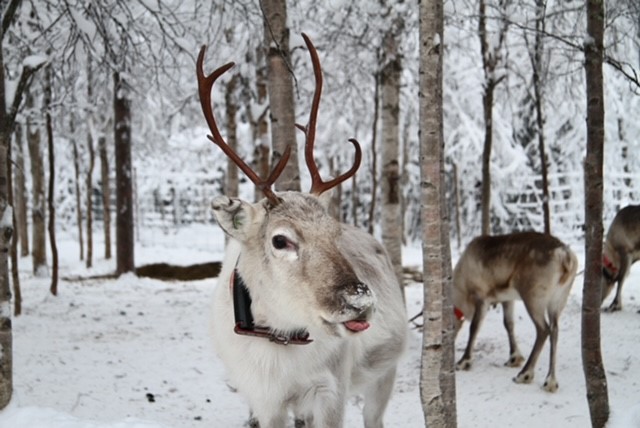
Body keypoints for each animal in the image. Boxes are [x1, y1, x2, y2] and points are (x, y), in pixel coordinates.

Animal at [196, 34, 407, 428]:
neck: (281, 339)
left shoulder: (330, 391)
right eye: (281, 240)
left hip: (384, 375)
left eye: (335, 233)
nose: (360, 301)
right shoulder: (266, 401)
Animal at [452, 231, 578, 392]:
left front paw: (464, 361)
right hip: (558, 300)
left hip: (533, 298)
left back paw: (525, 374)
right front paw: (514, 357)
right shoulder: (507, 298)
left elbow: (474, 328)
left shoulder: (481, 297)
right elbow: (508, 324)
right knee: (554, 330)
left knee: (543, 330)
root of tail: (564, 255)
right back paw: (550, 381)